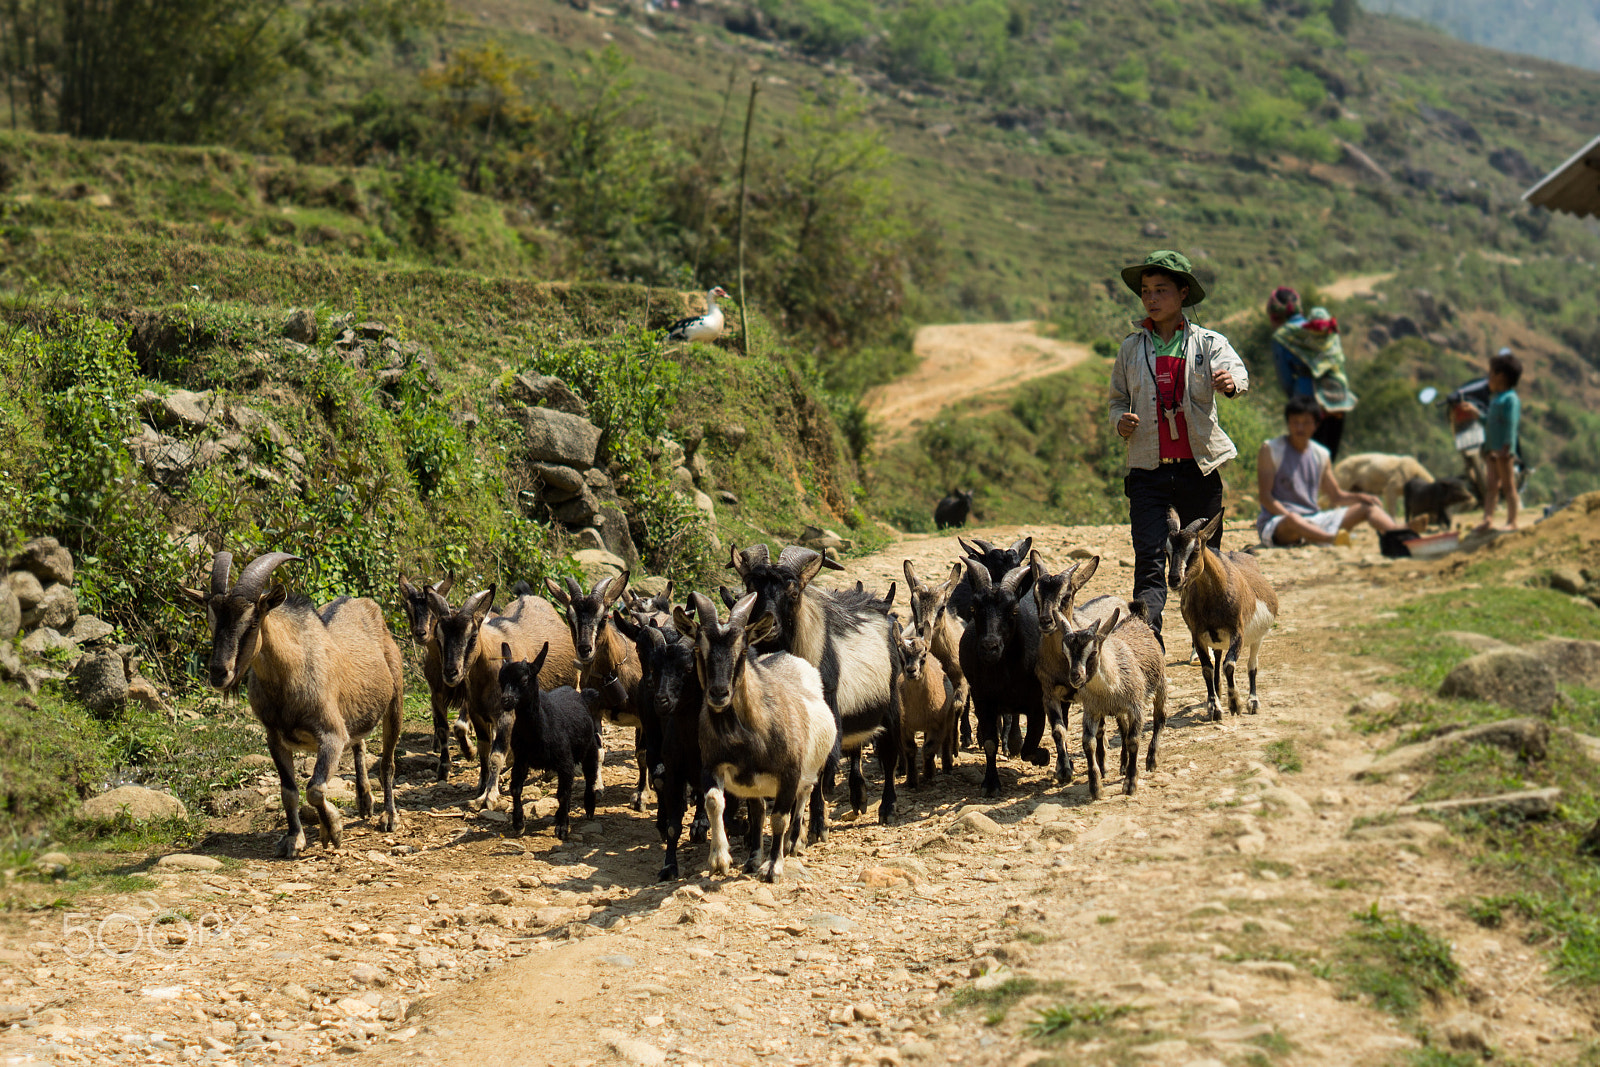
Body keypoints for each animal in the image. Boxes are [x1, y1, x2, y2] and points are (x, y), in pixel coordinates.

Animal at [496, 643, 601, 844]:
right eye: (501, 680)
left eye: (524, 679)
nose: (505, 700)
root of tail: (581, 695)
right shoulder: (521, 759)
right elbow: (515, 788)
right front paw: (518, 823)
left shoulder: (565, 762)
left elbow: (563, 793)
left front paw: (562, 827)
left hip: (590, 747)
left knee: (591, 775)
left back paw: (589, 807)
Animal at [672, 591, 838, 883]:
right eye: (697, 649)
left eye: (742, 651)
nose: (718, 693)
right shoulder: (712, 766)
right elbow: (715, 801)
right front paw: (720, 860)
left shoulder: (790, 773)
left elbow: (780, 818)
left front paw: (773, 867)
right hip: (755, 784)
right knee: (759, 810)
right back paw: (752, 859)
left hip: (811, 766)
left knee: (803, 795)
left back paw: (793, 843)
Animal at [1062, 607, 1164, 799]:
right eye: (1066, 654)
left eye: (1093, 653)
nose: (1075, 676)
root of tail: (1136, 618)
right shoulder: (1092, 710)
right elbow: (1088, 742)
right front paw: (1096, 787)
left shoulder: (1136, 707)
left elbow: (1133, 740)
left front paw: (1130, 784)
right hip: (1119, 710)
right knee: (1123, 729)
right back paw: (1123, 764)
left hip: (1160, 685)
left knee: (1159, 720)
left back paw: (1151, 760)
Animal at [1164, 511, 1273, 723]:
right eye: (1167, 551)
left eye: (1196, 549)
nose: (1174, 579)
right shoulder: (1197, 635)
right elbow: (1207, 669)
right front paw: (1214, 708)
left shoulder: (1237, 632)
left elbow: (1229, 665)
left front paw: (1236, 704)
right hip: (1218, 640)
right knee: (1218, 659)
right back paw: (1218, 692)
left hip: (1258, 637)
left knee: (1252, 665)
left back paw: (1253, 702)